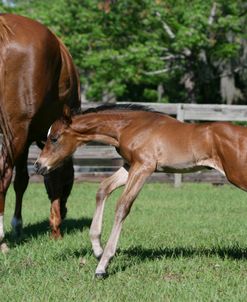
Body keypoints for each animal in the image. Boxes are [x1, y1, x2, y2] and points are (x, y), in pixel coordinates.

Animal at [35, 104, 247, 278]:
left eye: (54, 138)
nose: (38, 166)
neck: (130, 127)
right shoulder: (130, 166)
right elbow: (103, 189)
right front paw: (97, 249)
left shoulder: (144, 167)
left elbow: (122, 206)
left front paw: (103, 265)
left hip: (237, 175)